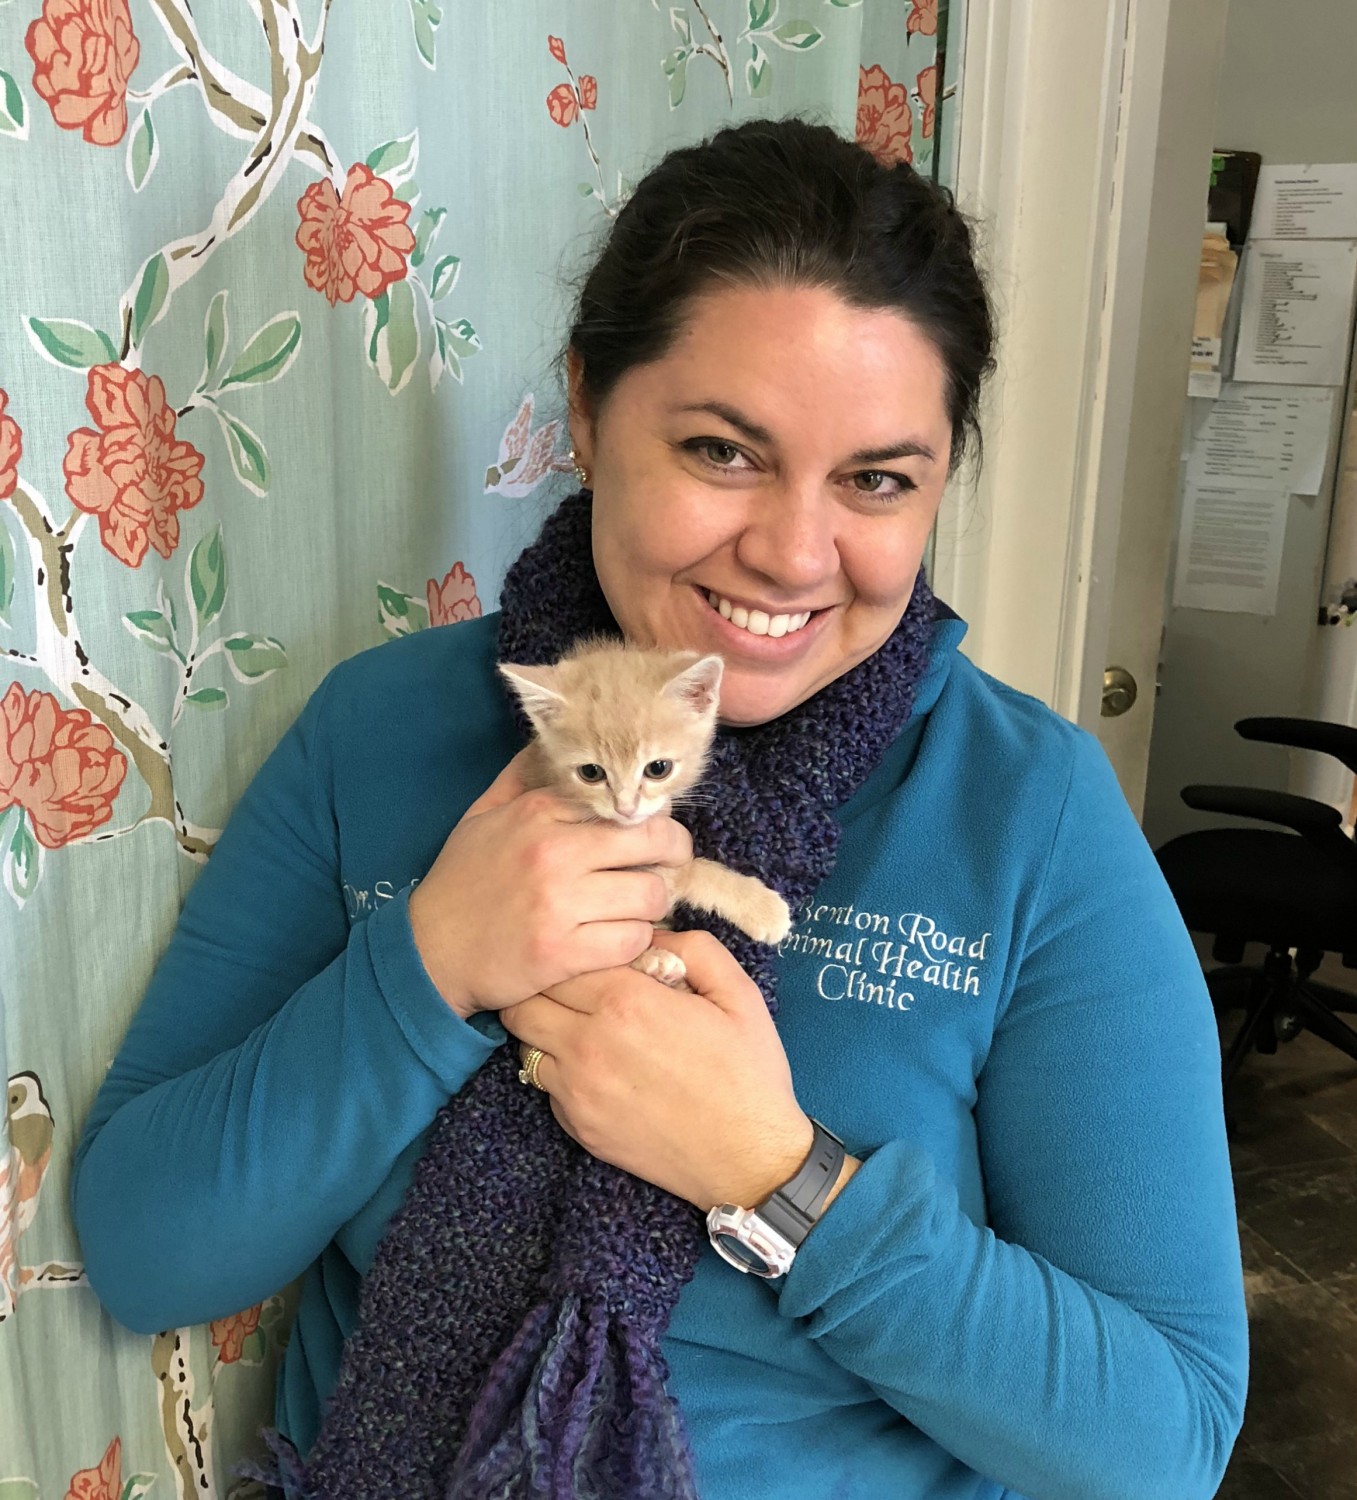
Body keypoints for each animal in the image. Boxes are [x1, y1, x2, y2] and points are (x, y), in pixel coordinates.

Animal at [500, 639, 791, 990]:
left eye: (658, 768)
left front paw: (758, 904)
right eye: (590, 772)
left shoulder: (662, 870)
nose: (625, 808)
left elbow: (694, 872)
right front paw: (650, 958)